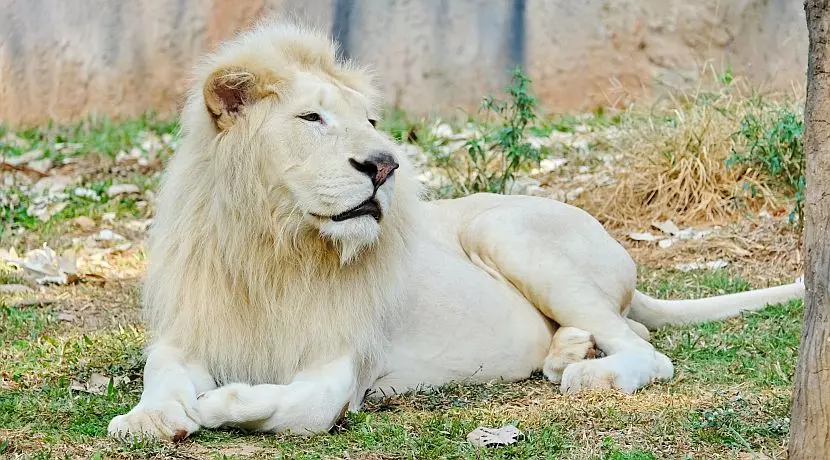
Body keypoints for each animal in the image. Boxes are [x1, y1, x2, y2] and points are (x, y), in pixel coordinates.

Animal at [108, 20, 804, 441]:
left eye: (370, 121)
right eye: (312, 119)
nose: (384, 165)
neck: (275, 247)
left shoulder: (342, 362)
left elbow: (299, 409)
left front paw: (213, 406)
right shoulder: (189, 330)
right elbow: (161, 376)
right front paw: (148, 418)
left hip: (505, 230)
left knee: (648, 350)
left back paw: (590, 373)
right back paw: (566, 352)